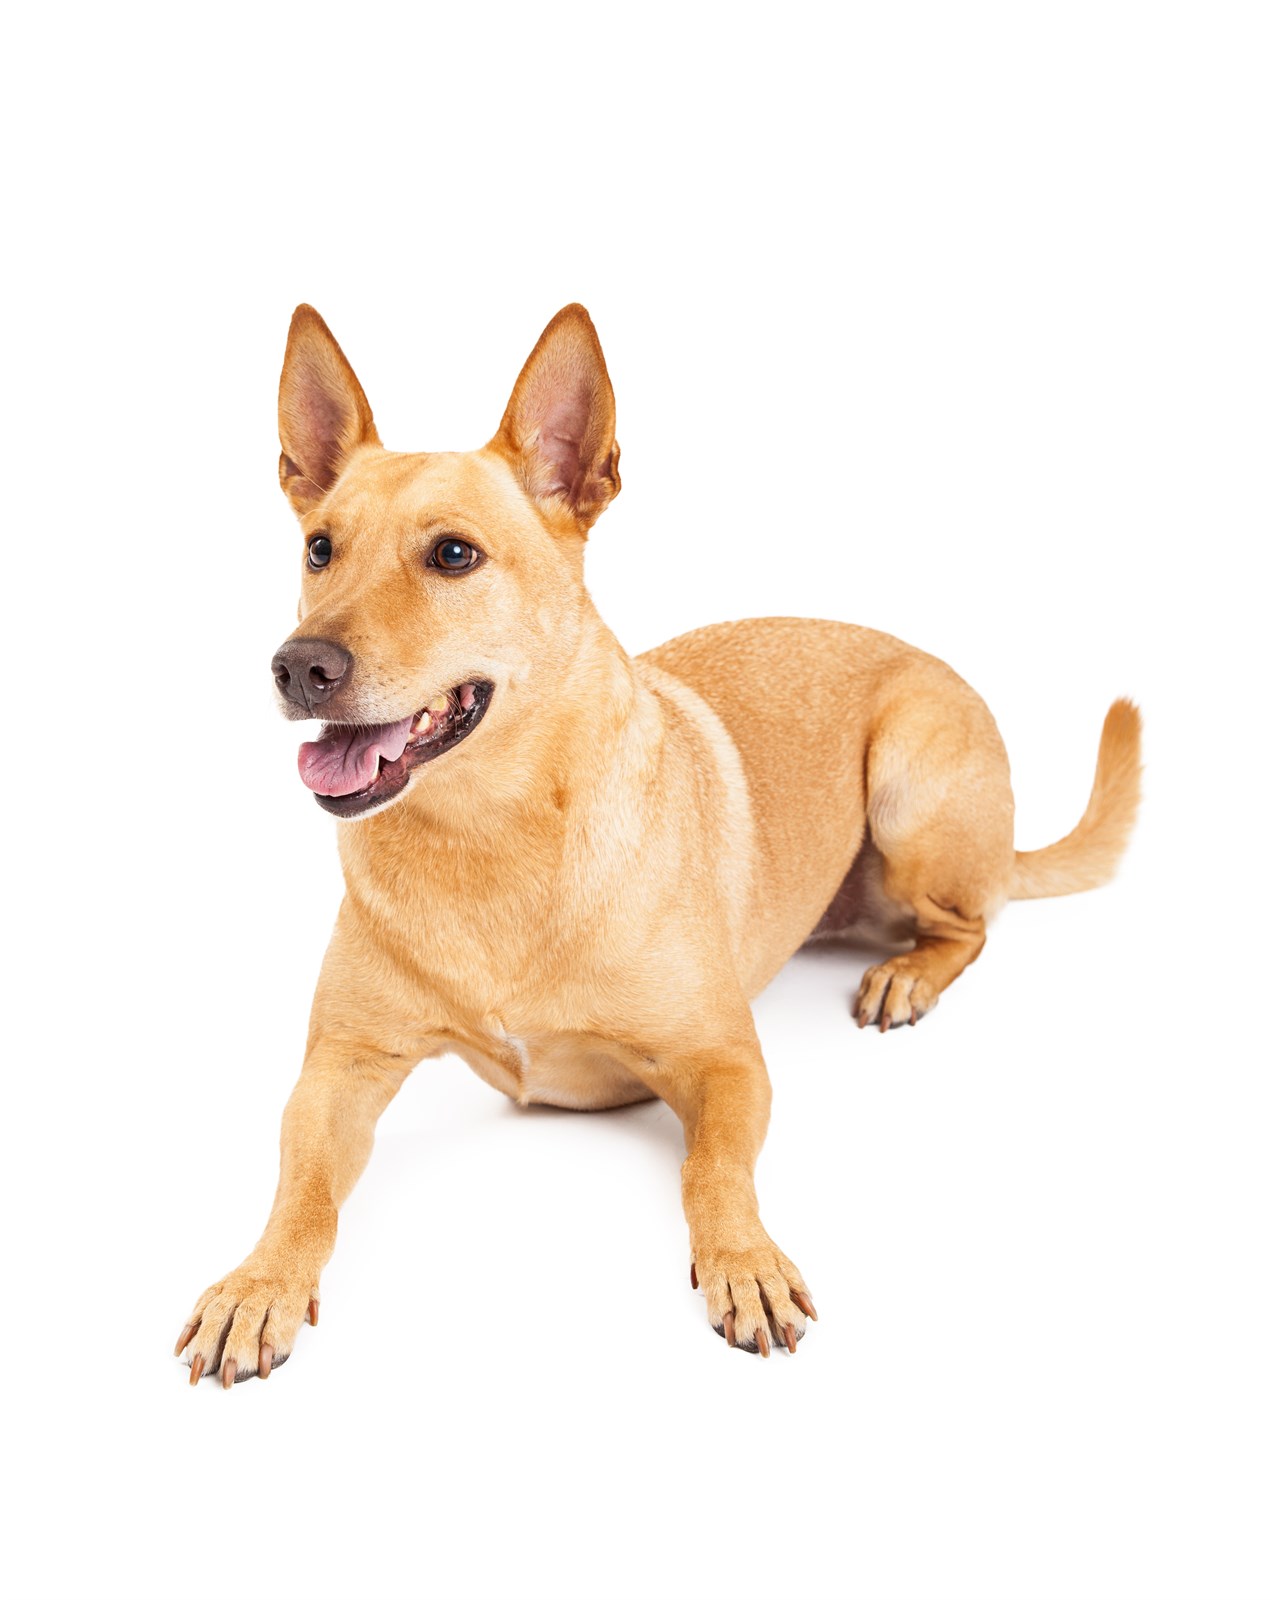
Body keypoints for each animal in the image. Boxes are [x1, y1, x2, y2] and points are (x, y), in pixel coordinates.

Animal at [172, 305, 1139, 1382]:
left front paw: (744, 1261)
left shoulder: (722, 1060)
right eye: (319, 550)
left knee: (969, 924)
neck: (487, 837)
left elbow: (711, 1171)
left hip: (909, 785)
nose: (297, 665)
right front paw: (257, 1282)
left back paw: (907, 974)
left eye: (453, 556)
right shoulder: (336, 1071)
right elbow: (300, 1186)